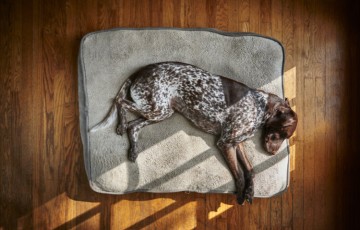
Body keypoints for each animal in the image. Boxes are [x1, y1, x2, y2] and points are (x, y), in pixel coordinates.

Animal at [90, 61, 298, 205]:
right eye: (280, 134)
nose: (273, 154)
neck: (259, 106)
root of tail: (141, 71)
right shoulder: (225, 143)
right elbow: (239, 174)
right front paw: (240, 195)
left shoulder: (236, 143)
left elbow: (251, 170)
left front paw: (250, 192)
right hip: (156, 108)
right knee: (120, 102)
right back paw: (120, 124)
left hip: (162, 112)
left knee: (133, 126)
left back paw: (133, 149)